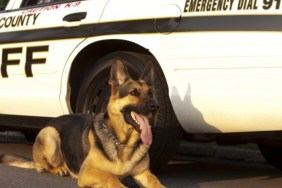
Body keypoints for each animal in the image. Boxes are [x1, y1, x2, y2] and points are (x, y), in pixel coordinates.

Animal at [0, 59, 165, 188]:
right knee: (44, 166)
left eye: (150, 93)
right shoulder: (87, 171)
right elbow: (109, 177)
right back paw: (59, 168)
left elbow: (156, 181)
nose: (156, 106)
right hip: (51, 134)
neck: (123, 143)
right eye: (133, 93)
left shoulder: (144, 173)